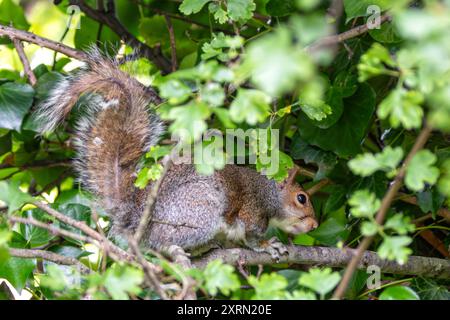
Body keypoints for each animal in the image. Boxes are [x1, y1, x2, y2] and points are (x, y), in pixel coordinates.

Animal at [37, 48, 320, 260]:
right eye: (301, 198)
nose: (315, 225)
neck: (269, 194)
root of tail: (138, 220)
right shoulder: (252, 213)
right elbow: (251, 238)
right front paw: (268, 245)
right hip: (200, 212)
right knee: (166, 242)